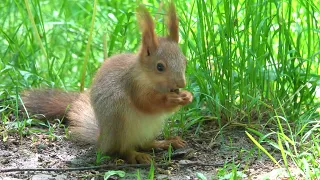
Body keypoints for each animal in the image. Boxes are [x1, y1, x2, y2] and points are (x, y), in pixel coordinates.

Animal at [23, 2, 192, 164]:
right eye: (160, 67)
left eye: (185, 61)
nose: (181, 83)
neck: (148, 78)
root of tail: (103, 140)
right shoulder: (133, 84)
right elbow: (146, 102)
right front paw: (171, 98)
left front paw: (187, 96)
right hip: (120, 124)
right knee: (123, 150)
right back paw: (136, 155)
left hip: (152, 127)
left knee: (145, 144)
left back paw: (166, 142)